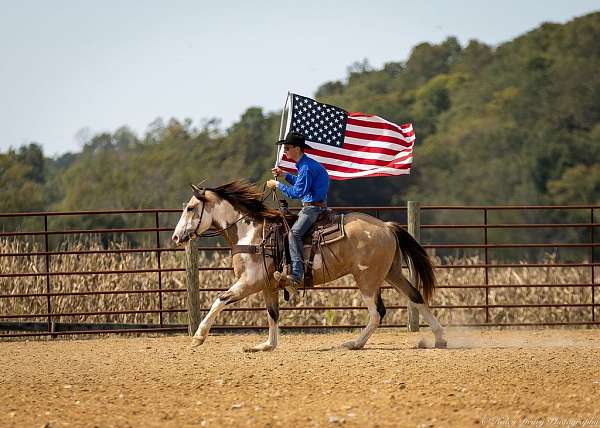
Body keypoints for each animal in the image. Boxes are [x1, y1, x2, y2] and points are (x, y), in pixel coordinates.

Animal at [170, 181, 446, 352]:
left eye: (190, 208)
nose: (175, 237)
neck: (251, 234)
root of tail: (387, 227)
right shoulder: (268, 285)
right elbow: (272, 314)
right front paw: (266, 346)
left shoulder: (249, 282)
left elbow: (220, 299)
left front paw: (198, 336)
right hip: (391, 273)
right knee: (415, 296)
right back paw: (440, 338)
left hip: (367, 279)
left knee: (377, 312)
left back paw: (354, 344)